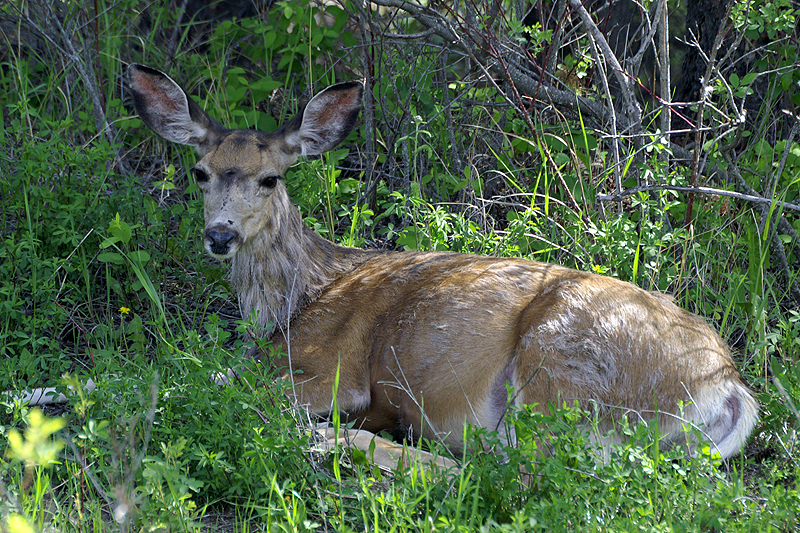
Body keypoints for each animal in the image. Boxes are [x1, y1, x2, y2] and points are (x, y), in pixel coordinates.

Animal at [130, 64, 756, 460]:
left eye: (269, 178)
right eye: (200, 172)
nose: (220, 234)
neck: (297, 301)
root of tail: (729, 390)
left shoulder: (337, 371)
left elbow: (216, 385)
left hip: (564, 370)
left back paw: (339, 444)